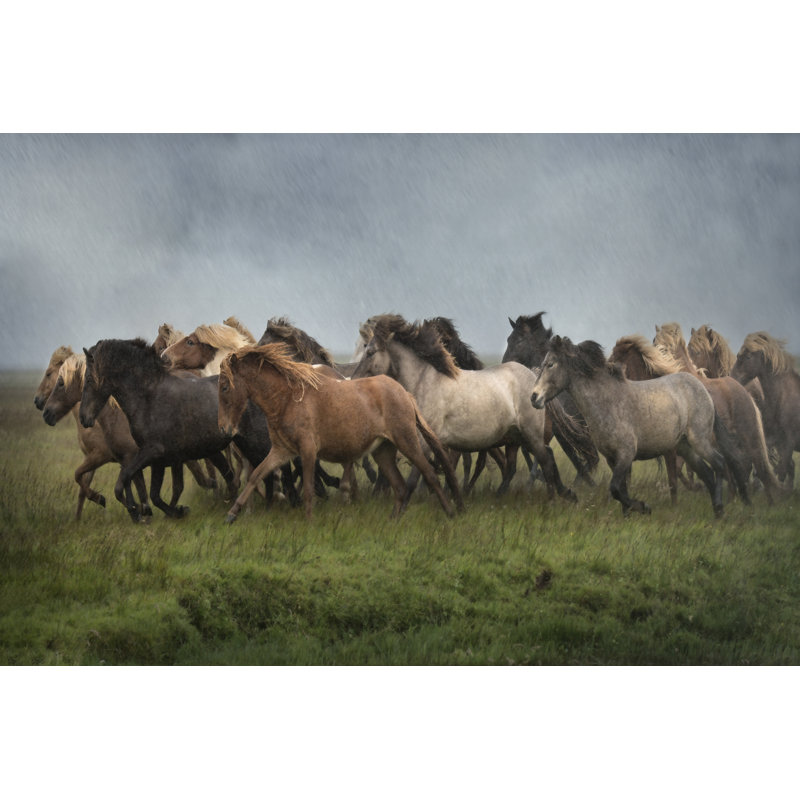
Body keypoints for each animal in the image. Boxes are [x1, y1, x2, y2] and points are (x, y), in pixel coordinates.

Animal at [41, 352, 152, 519]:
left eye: (59, 382)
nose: (45, 413)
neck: (118, 416)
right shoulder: (114, 459)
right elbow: (82, 482)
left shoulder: (104, 456)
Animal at [79, 338, 245, 521]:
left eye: (88, 379)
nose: (83, 417)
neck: (149, 398)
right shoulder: (160, 459)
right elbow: (150, 493)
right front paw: (172, 511)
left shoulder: (153, 452)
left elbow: (126, 481)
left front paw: (136, 511)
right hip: (213, 450)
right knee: (230, 476)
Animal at [218, 342, 463, 521]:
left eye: (224, 386)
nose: (224, 428)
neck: (287, 399)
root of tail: (404, 393)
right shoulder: (281, 451)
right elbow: (255, 475)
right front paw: (231, 514)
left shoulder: (308, 450)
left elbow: (309, 488)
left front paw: (309, 522)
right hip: (382, 451)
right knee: (400, 487)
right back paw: (393, 520)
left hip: (407, 441)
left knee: (429, 475)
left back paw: (451, 513)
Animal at [351, 314, 579, 503]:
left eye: (370, 351)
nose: (353, 380)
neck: (425, 382)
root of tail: (535, 382)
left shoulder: (426, 441)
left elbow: (420, 474)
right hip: (516, 438)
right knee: (524, 463)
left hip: (531, 434)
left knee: (545, 461)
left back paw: (551, 500)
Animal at [531, 336, 728, 518]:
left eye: (550, 364)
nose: (534, 397)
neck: (607, 403)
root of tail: (701, 387)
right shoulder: (611, 458)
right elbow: (621, 489)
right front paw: (628, 514)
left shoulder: (626, 454)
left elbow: (615, 488)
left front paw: (644, 507)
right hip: (685, 448)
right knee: (707, 473)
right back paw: (716, 510)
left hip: (699, 441)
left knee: (718, 464)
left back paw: (719, 509)